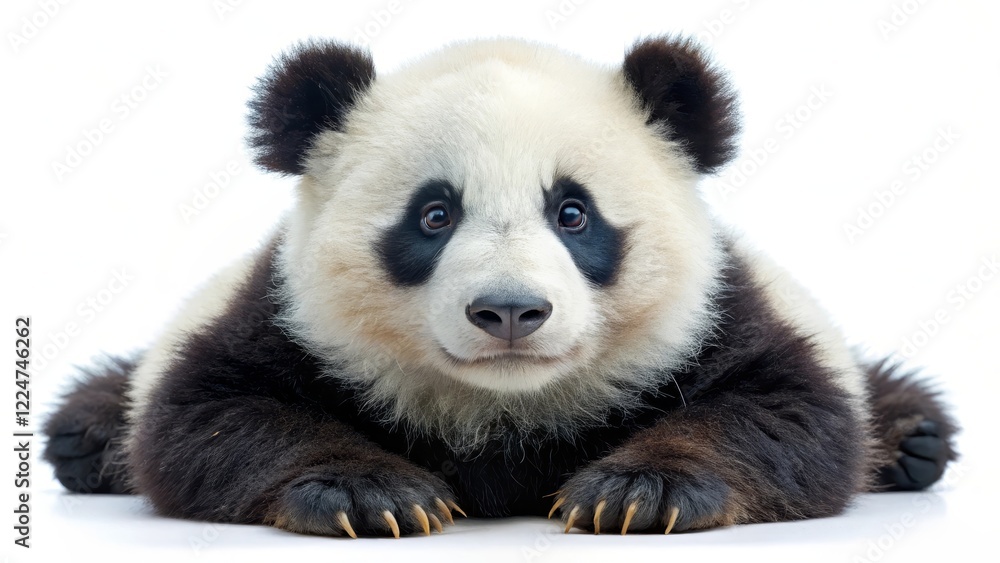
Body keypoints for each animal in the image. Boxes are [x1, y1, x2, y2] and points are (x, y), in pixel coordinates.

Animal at [43, 36, 957, 538]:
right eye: (435, 214)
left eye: (574, 213)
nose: (511, 310)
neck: (503, 410)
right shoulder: (279, 314)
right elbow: (205, 416)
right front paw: (370, 491)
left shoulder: (719, 311)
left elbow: (792, 412)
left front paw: (643, 489)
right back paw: (85, 433)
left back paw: (913, 433)